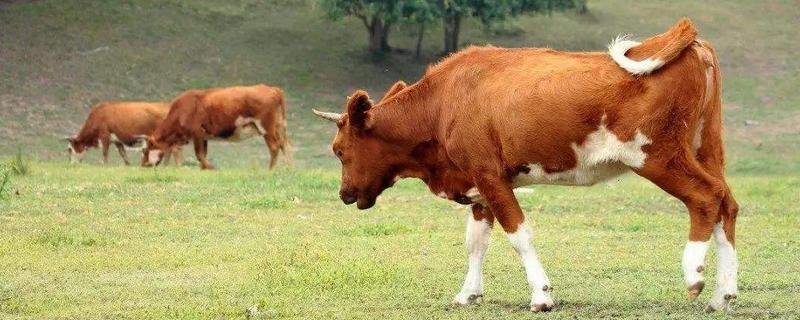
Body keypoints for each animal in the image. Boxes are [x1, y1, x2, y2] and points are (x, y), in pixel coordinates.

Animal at [140, 84, 290, 170]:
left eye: (145, 150)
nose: (143, 164)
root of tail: (272, 89)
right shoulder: (204, 135)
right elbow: (203, 154)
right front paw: (204, 168)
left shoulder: (197, 132)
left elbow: (199, 154)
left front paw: (210, 167)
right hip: (279, 127)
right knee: (285, 145)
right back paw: (290, 169)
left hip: (267, 127)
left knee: (275, 147)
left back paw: (271, 170)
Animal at [316, 18, 740, 312]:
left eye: (339, 150)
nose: (344, 194)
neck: (442, 103)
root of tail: (690, 42)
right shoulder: (479, 185)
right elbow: (476, 241)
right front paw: (468, 293)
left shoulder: (489, 176)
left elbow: (519, 234)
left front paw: (541, 295)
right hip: (707, 149)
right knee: (727, 204)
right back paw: (724, 293)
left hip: (657, 156)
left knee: (706, 197)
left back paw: (695, 275)